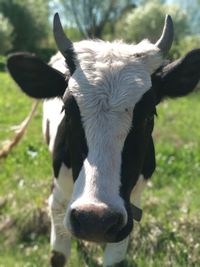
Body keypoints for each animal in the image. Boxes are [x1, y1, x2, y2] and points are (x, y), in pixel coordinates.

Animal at [5, 13, 200, 267]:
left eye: (150, 113)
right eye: (67, 109)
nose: (94, 220)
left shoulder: (129, 208)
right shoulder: (58, 199)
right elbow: (58, 254)